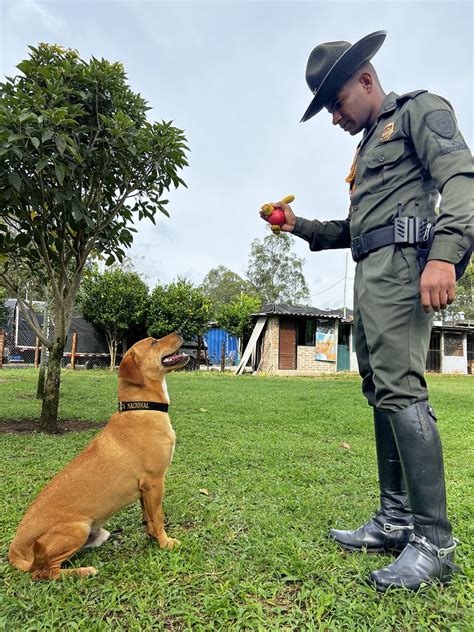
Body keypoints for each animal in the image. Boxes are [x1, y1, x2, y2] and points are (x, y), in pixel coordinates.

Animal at [8, 334, 188, 580]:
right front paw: (165, 543)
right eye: (153, 342)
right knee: (44, 572)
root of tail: (14, 550)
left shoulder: (145, 489)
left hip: (96, 532)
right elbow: (158, 518)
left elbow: (149, 518)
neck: (141, 408)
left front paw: (151, 538)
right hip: (77, 529)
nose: (180, 333)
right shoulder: (154, 482)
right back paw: (83, 571)